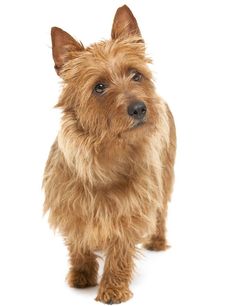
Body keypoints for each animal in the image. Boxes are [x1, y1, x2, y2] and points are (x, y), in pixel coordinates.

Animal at [42, 4, 175, 304]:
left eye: (136, 75)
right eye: (99, 87)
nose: (139, 108)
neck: (106, 153)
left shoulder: (131, 209)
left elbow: (120, 251)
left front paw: (113, 288)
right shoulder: (70, 203)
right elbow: (78, 241)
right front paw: (82, 274)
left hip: (165, 176)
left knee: (161, 211)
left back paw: (157, 241)